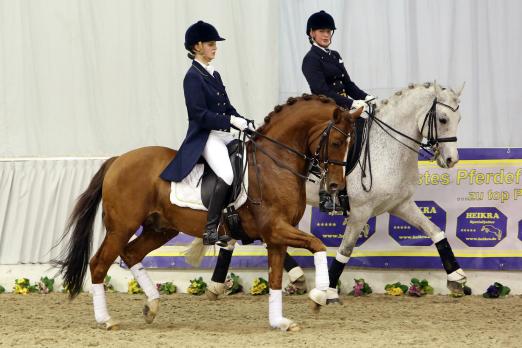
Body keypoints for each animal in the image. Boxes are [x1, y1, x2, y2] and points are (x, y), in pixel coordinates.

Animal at [52, 94, 362, 332]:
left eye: (351, 144)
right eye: (336, 142)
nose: (336, 186)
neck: (275, 164)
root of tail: (117, 160)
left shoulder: (276, 236)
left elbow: (275, 278)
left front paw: (280, 322)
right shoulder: (275, 228)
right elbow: (317, 244)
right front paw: (319, 296)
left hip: (160, 228)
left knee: (130, 254)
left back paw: (152, 306)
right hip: (122, 227)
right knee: (98, 264)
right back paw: (106, 320)